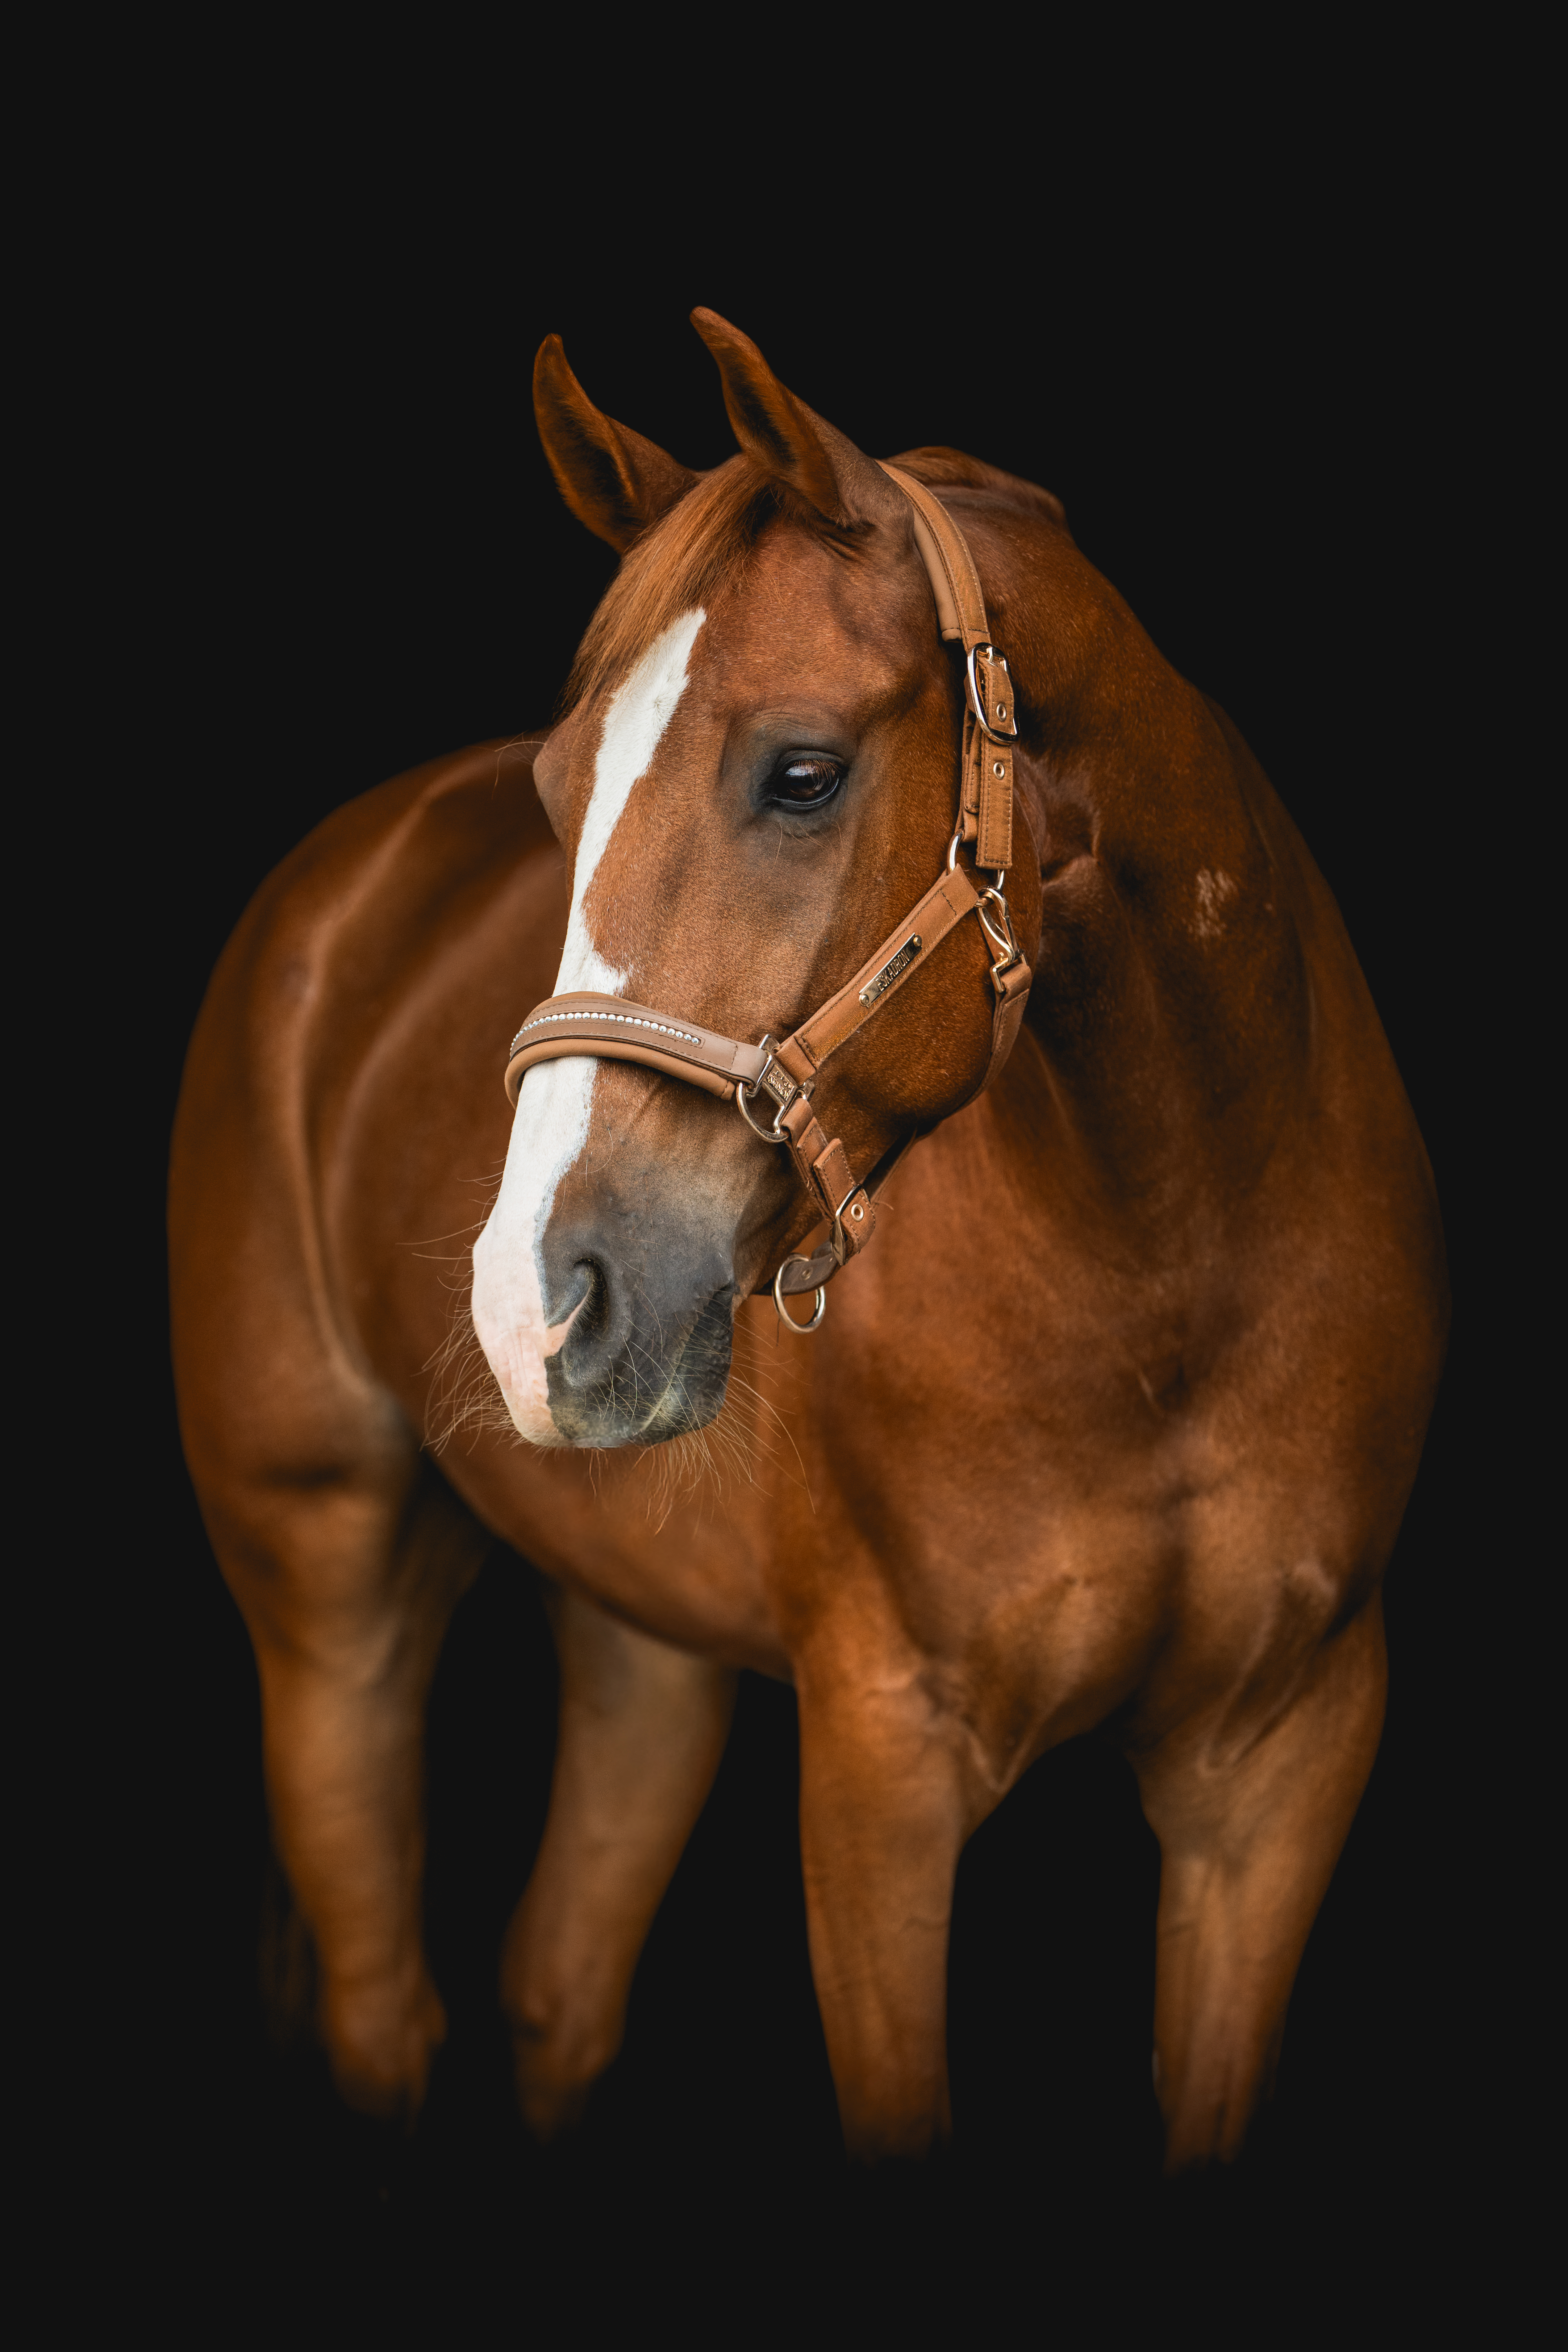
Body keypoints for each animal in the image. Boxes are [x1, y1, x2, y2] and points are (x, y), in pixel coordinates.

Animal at [168, 308, 1447, 2171]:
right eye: (554, 790)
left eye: (800, 772)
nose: (537, 1307)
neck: (1173, 1276)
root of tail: (332, 891)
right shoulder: (879, 1762)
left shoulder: (1278, 1764)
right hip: (327, 1588)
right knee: (383, 1999)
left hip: (637, 1639)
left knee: (558, 1983)